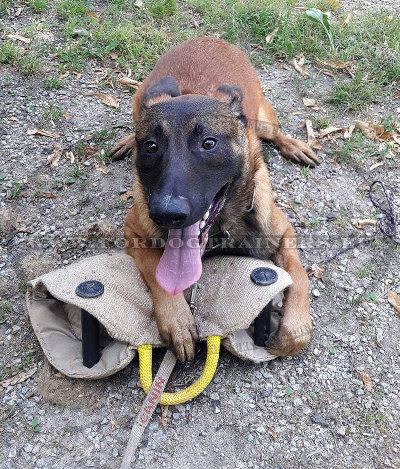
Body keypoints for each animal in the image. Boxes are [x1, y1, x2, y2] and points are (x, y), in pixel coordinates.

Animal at [111, 36, 318, 360]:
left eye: (209, 143)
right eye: (151, 146)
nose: (166, 214)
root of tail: (209, 38)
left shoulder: (284, 232)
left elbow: (299, 277)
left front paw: (293, 328)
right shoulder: (133, 230)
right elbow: (156, 272)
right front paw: (177, 319)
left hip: (263, 120)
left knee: (275, 133)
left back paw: (294, 145)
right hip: (139, 100)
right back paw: (125, 140)